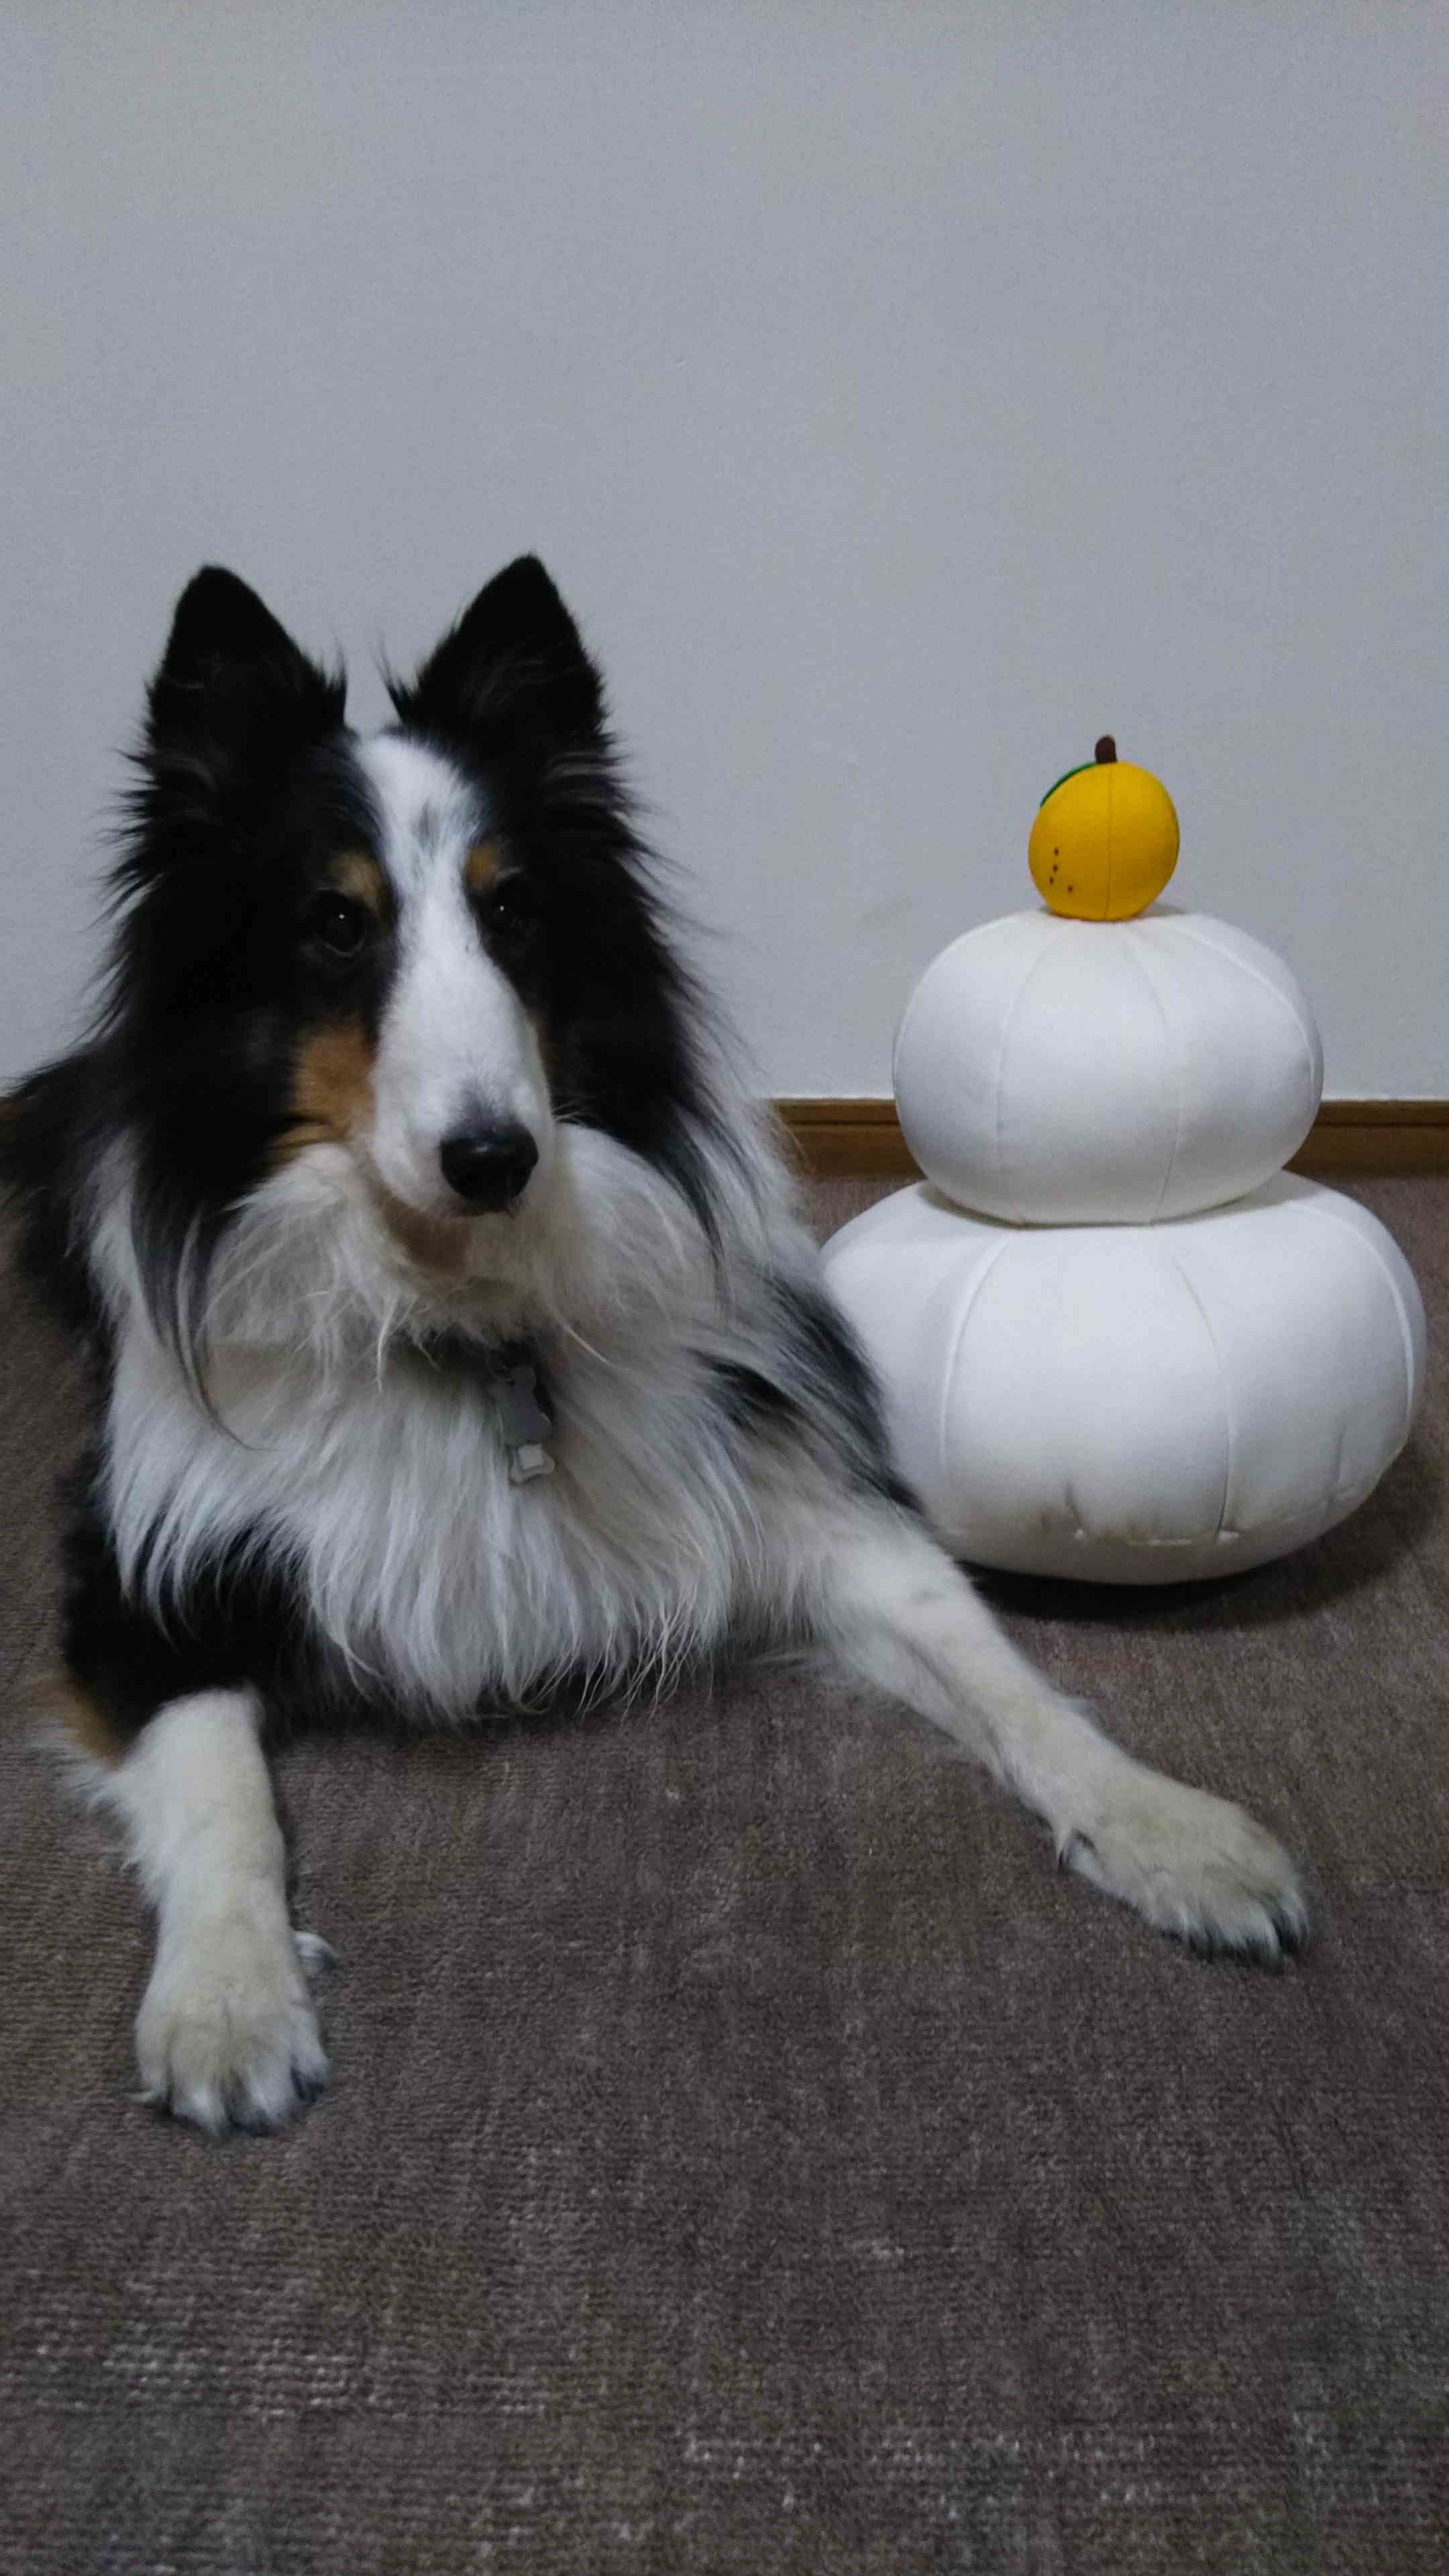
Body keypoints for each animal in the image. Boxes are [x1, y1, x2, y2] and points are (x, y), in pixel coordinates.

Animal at [1, 558, 1306, 2133]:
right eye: (336, 925)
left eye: (513, 909)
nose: (495, 1158)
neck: (463, 1322)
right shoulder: (140, 1591)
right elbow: (221, 1792)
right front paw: (228, 2000)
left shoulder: (807, 1508)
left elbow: (1006, 1674)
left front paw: (1171, 1828)